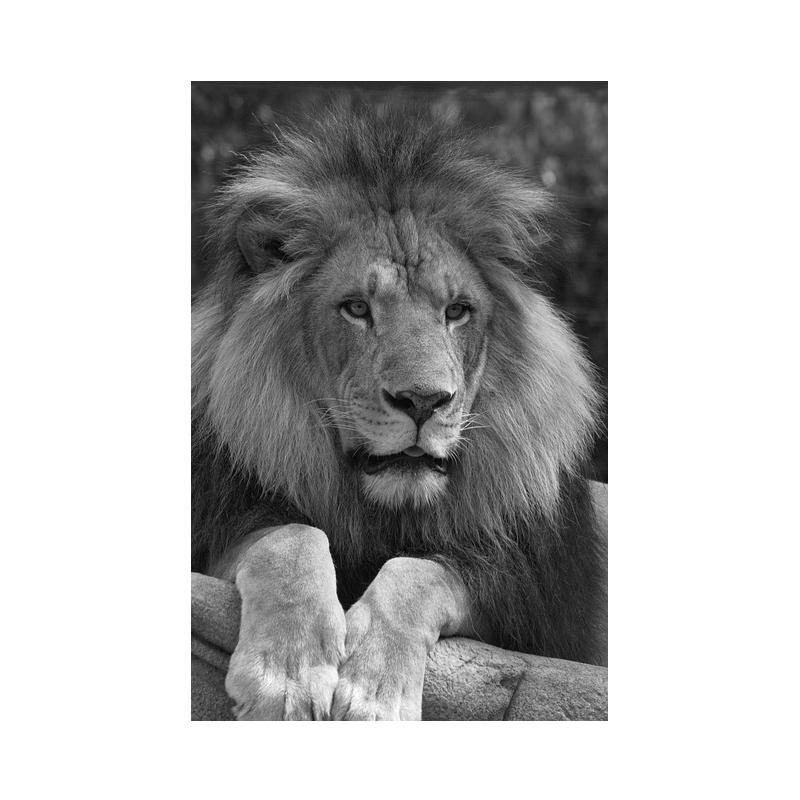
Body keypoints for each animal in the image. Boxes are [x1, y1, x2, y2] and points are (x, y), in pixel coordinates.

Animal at [192, 107, 607, 720]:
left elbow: (420, 571)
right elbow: (290, 535)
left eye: (457, 311)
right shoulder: (220, 521)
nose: (424, 401)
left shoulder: (532, 599)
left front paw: (375, 692)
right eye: (356, 308)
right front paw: (285, 675)